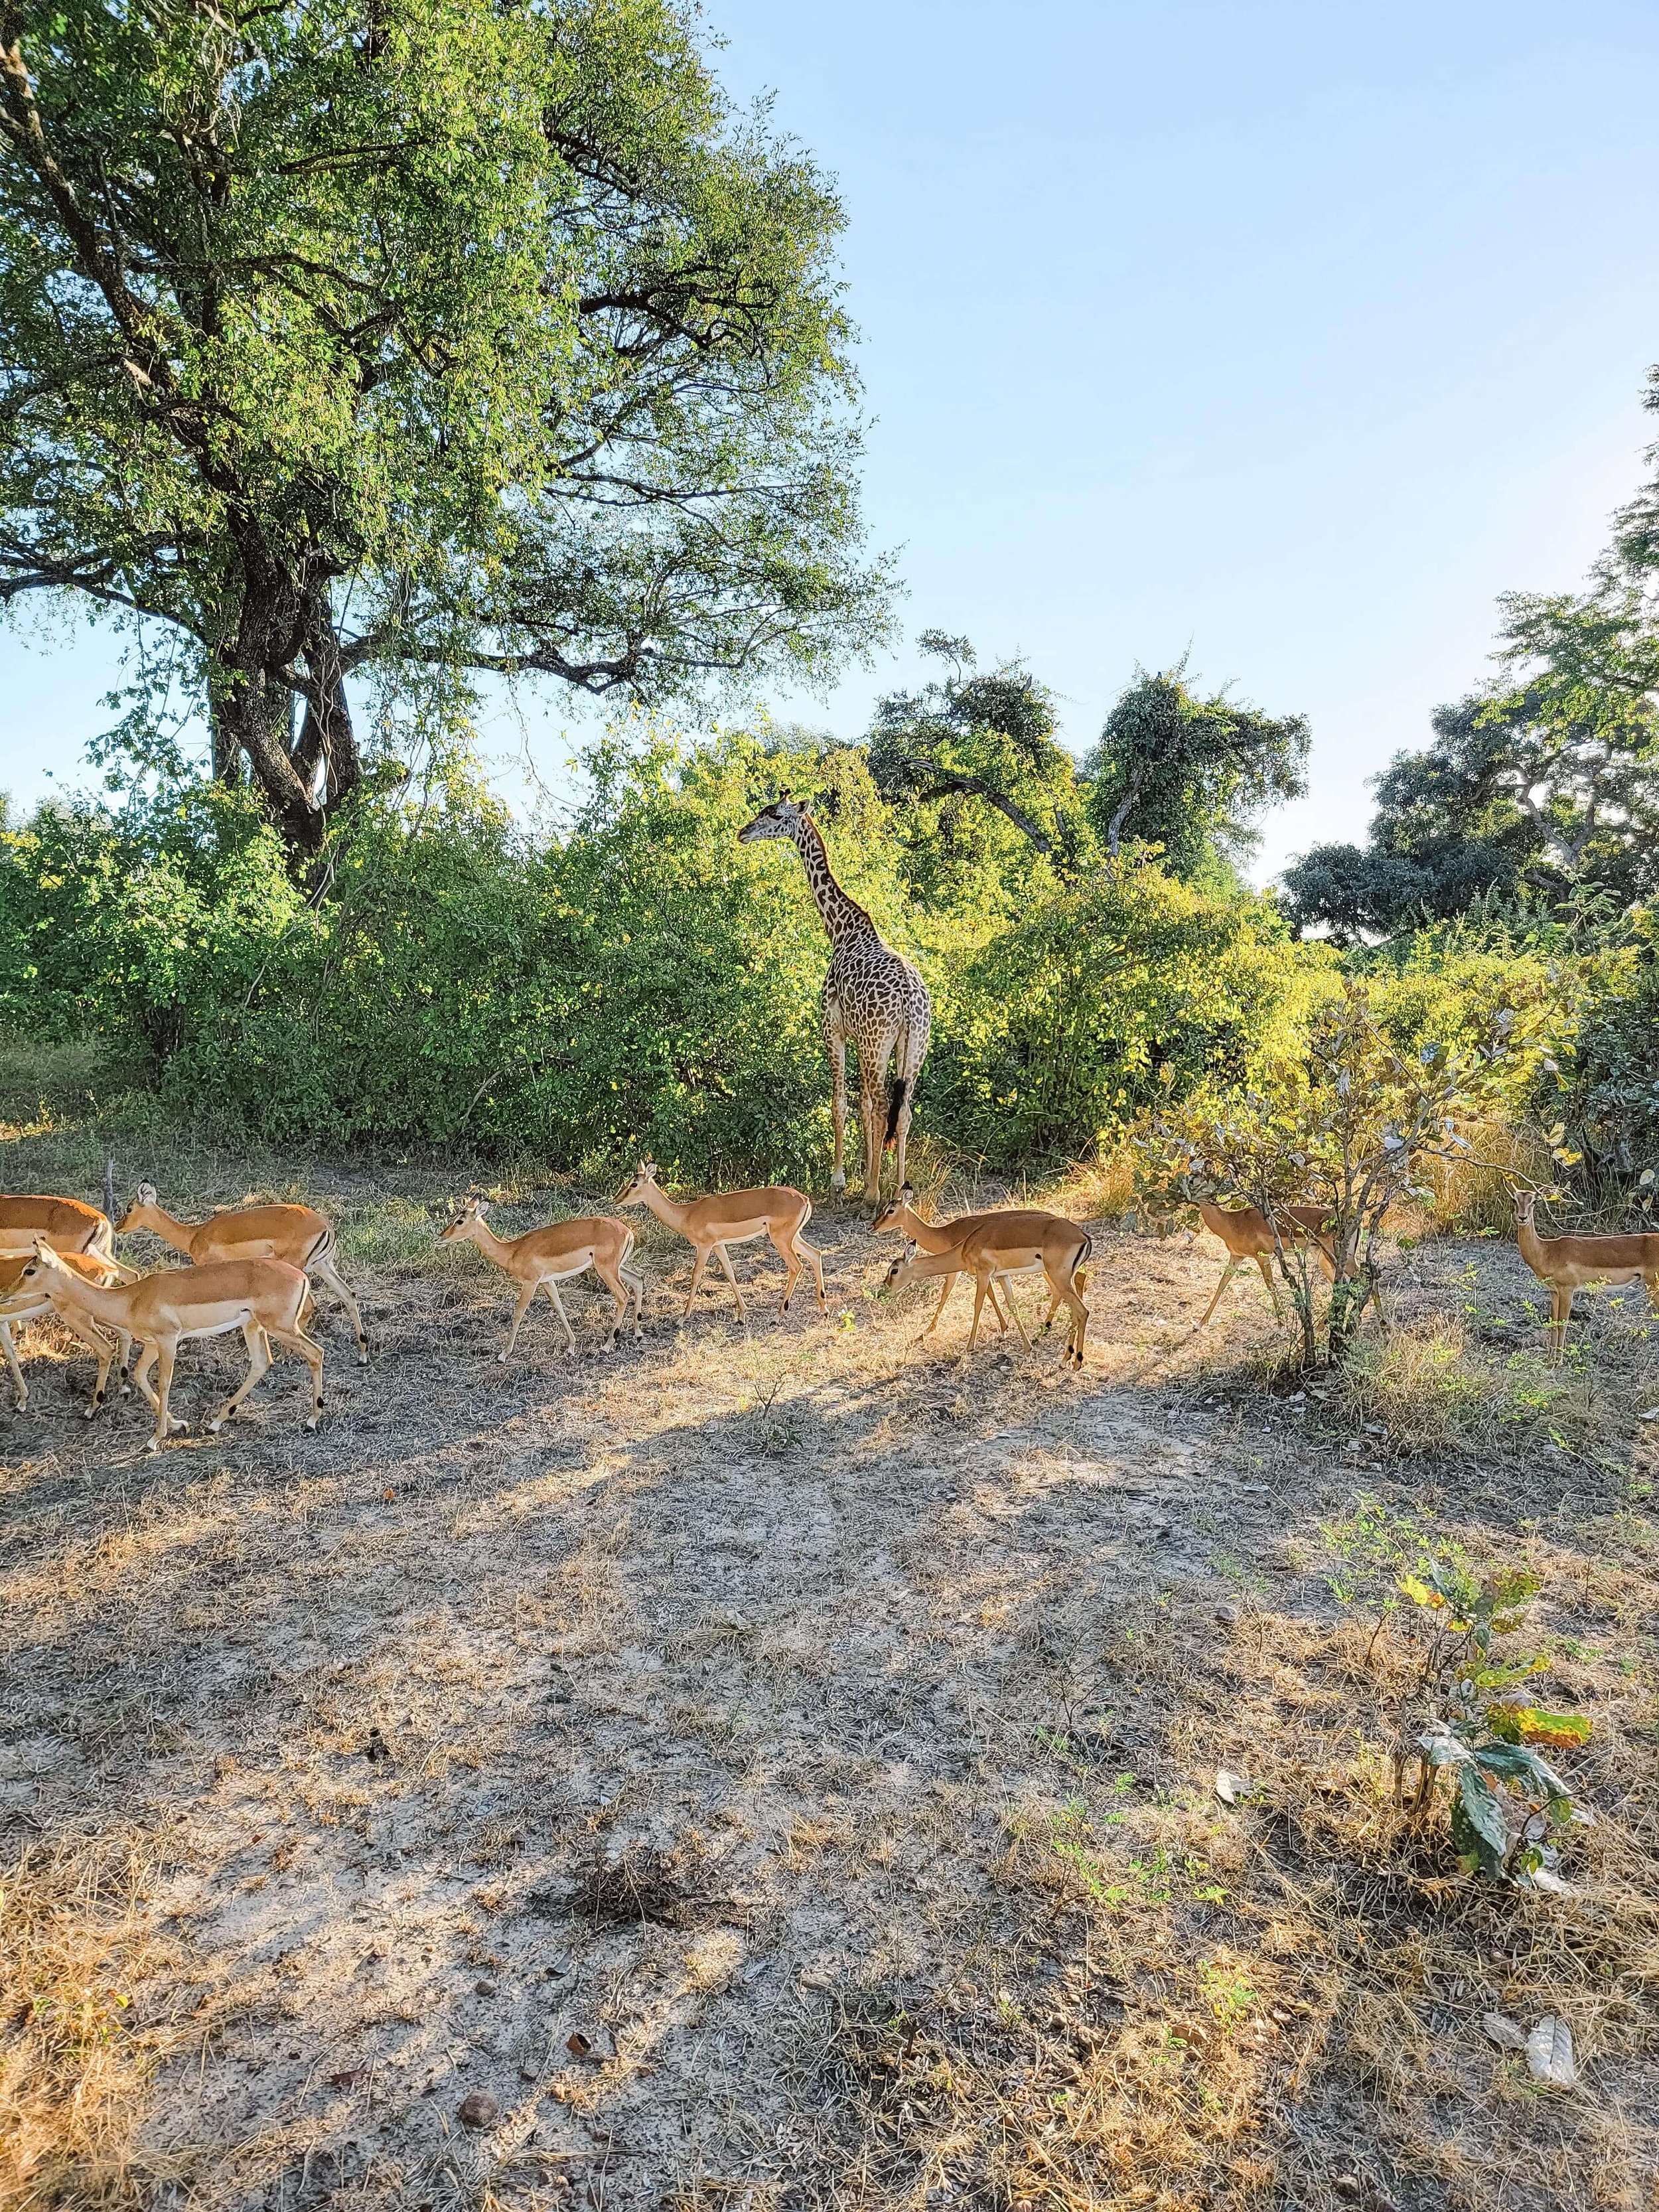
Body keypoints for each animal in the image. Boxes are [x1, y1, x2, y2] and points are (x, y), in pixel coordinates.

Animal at [739, 796, 938, 1203]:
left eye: (775, 815)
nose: (743, 833)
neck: (841, 929)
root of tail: (911, 999)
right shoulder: (865, 1039)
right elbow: (862, 1105)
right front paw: (866, 1173)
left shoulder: (834, 1028)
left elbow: (841, 1104)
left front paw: (841, 1182)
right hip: (914, 1046)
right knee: (902, 1111)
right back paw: (898, 1191)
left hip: (879, 1042)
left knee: (882, 1106)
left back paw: (873, 1197)